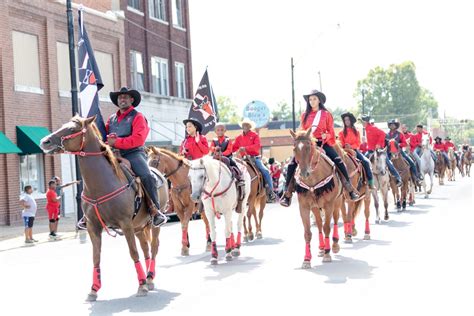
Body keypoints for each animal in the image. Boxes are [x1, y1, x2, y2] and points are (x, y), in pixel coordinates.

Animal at [39, 116, 168, 302]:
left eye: (71, 129)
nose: (45, 141)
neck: (101, 184)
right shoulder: (93, 226)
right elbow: (96, 257)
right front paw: (93, 289)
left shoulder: (125, 224)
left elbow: (133, 252)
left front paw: (141, 285)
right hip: (139, 226)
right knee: (145, 248)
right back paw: (148, 277)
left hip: (153, 223)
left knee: (154, 246)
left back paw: (149, 278)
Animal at [288, 129, 344, 270]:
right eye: (294, 149)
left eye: (308, 147)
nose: (304, 173)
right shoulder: (304, 207)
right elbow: (308, 233)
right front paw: (307, 259)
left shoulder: (329, 205)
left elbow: (327, 227)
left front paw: (327, 254)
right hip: (315, 207)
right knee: (318, 224)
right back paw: (321, 248)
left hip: (337, 202)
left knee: (335, 220)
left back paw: (334, 245)